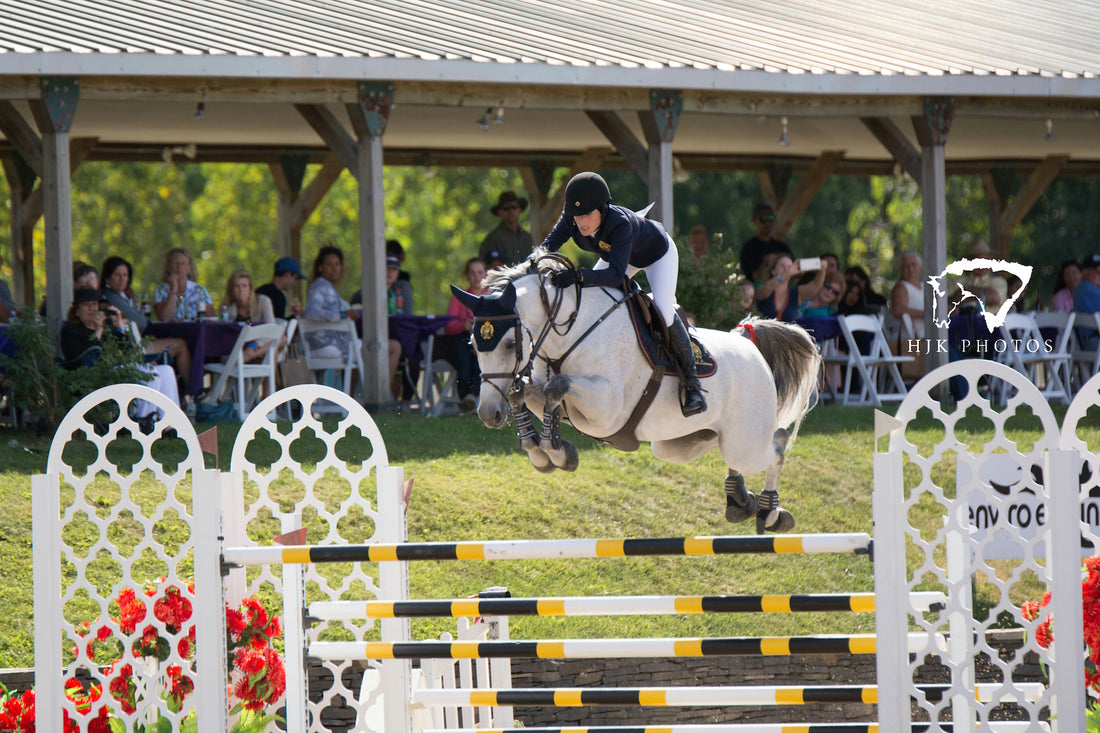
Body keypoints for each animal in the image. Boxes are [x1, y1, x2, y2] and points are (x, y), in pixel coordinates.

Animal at [451, 250, 822, 530]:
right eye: (473, 344)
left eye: (510, 343)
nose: (488, 414)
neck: (570, 332)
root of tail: (749, 344)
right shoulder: (543, 390)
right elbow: (526, 394)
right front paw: (544, 451)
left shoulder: (606, 409)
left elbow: (558, 387)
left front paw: (555, 451)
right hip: (681, 444)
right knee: (728, 452)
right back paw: (740, 501)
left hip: (744, 440)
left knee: (775, 448)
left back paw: (770, 513)